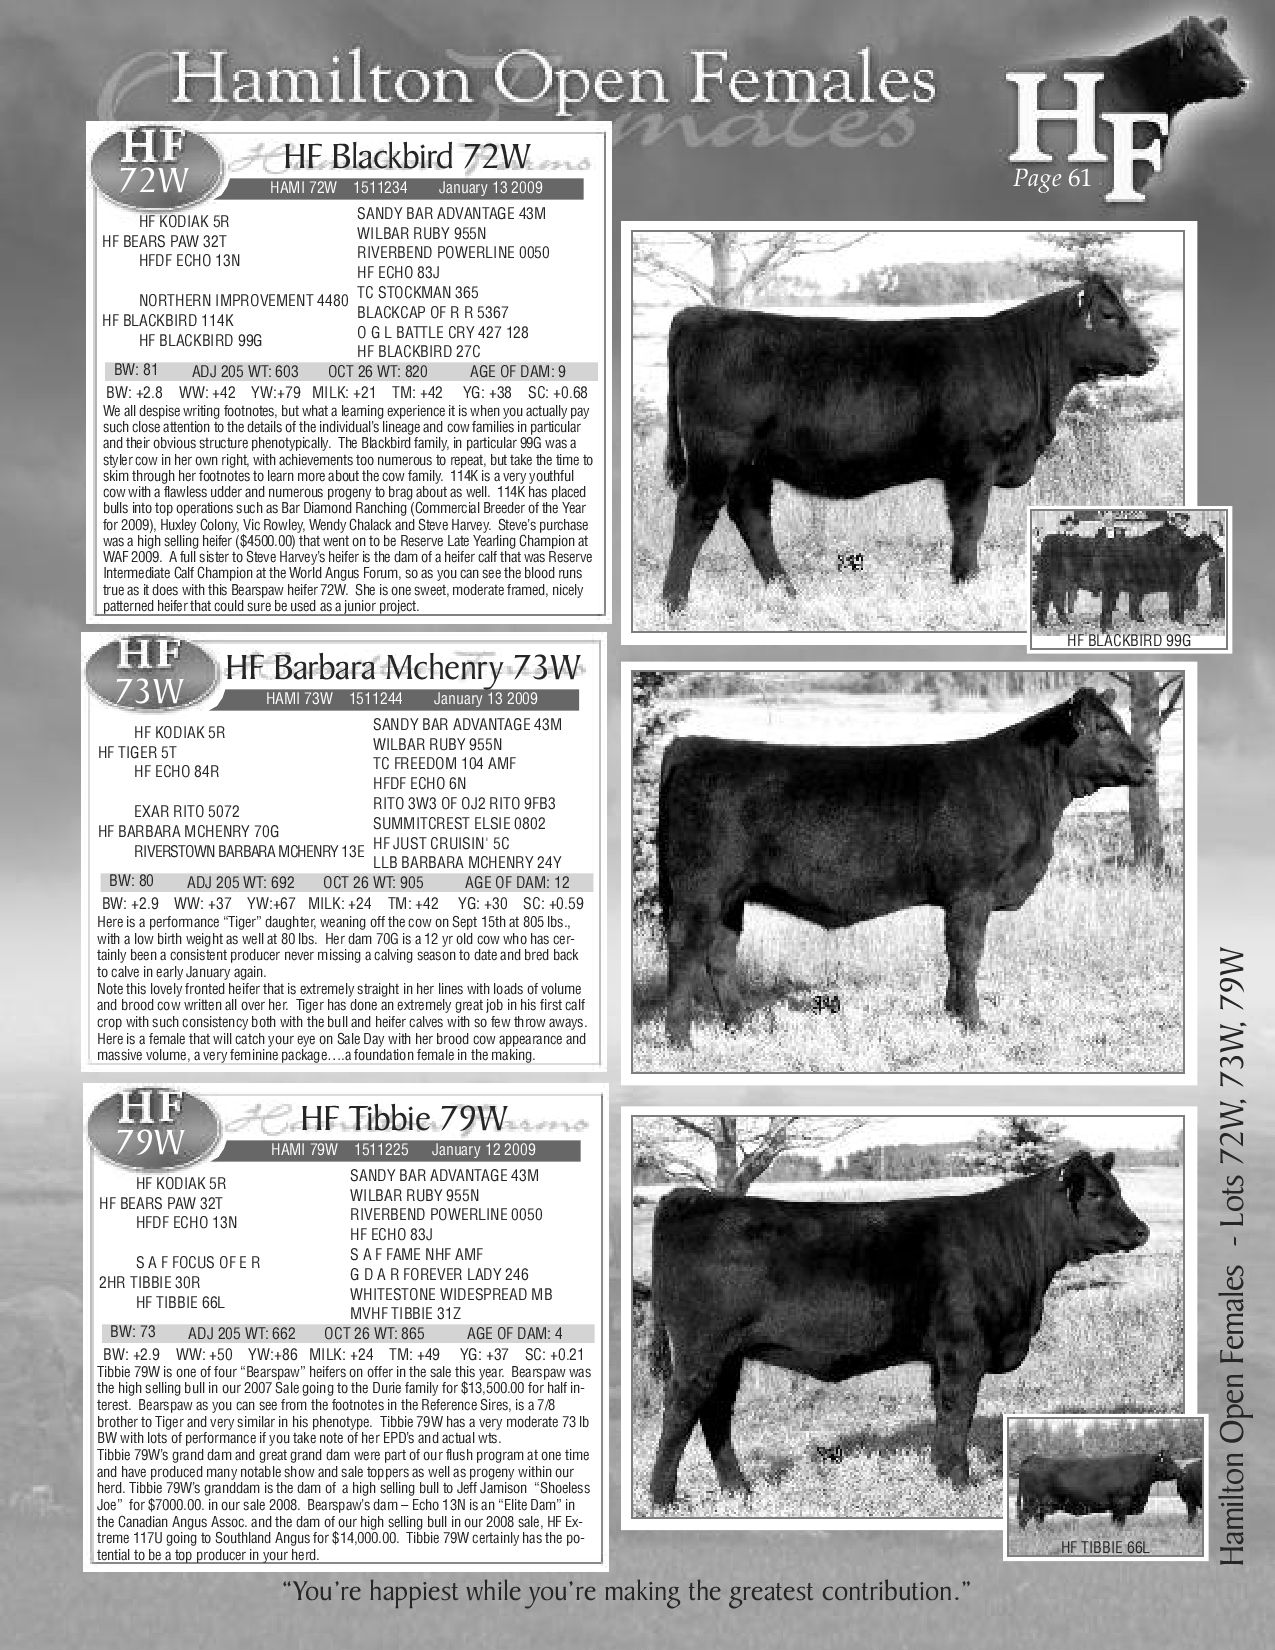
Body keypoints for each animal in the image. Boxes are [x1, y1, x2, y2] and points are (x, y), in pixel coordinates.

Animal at [645, 1151, 1151, 1506]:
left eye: (1116, 1187)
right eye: (1096, 1195)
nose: (1142, 1230)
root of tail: (693, 1198)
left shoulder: (943, 1356)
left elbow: (944, 1412)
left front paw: (942, 1472)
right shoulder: (964, 1350)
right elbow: (960, 1413)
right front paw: (960, 1481)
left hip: (728, 1355)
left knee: (715, 1414)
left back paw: (738, 1489)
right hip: (701, 1350)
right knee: (680, 1412)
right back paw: (663, 1498)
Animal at [656, 686, 1153, 1048]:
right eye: (1103, 727)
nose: (1149, 767)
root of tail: (691, 744)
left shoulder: (963, 896)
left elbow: (955, 956)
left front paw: (953, 1013)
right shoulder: (971, 890)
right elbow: (967, 954)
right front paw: (974, 1023)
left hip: (732, 896)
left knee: (720, 956)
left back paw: (743, 1027)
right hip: (700, 888)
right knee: (685, 950)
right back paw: (680, 1040)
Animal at [659, 277, 1158, 611]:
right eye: (1110, 315)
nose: (1153, 357)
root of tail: (701, 314)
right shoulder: (974, 462)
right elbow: (970, 523)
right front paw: (967, 581)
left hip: (751, 463)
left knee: (752, 519)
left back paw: (787, 592)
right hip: (715, 452)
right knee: (695, 514)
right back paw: (674, 602)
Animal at [1016, 1449, 1179, 1528]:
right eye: (1169, 1461)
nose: (1180, 1471)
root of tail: (1034, 1457)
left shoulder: (1117, 1506)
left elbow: (1115, 1522)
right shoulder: (1122, 1502)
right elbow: (1120, 1523)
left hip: (1040, 1505)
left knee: (1038, 1519)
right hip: (1031, 1501)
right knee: (1024, 1518)